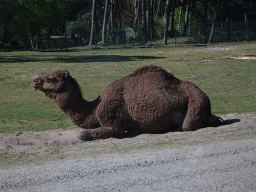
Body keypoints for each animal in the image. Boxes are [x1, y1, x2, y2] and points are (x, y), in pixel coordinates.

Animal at [32, 65, 223, 140]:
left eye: (51, 78)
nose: (34, 81)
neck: (94, 108)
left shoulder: (112, 120)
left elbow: (83, 134)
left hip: (196, 98)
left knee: (187, 125)